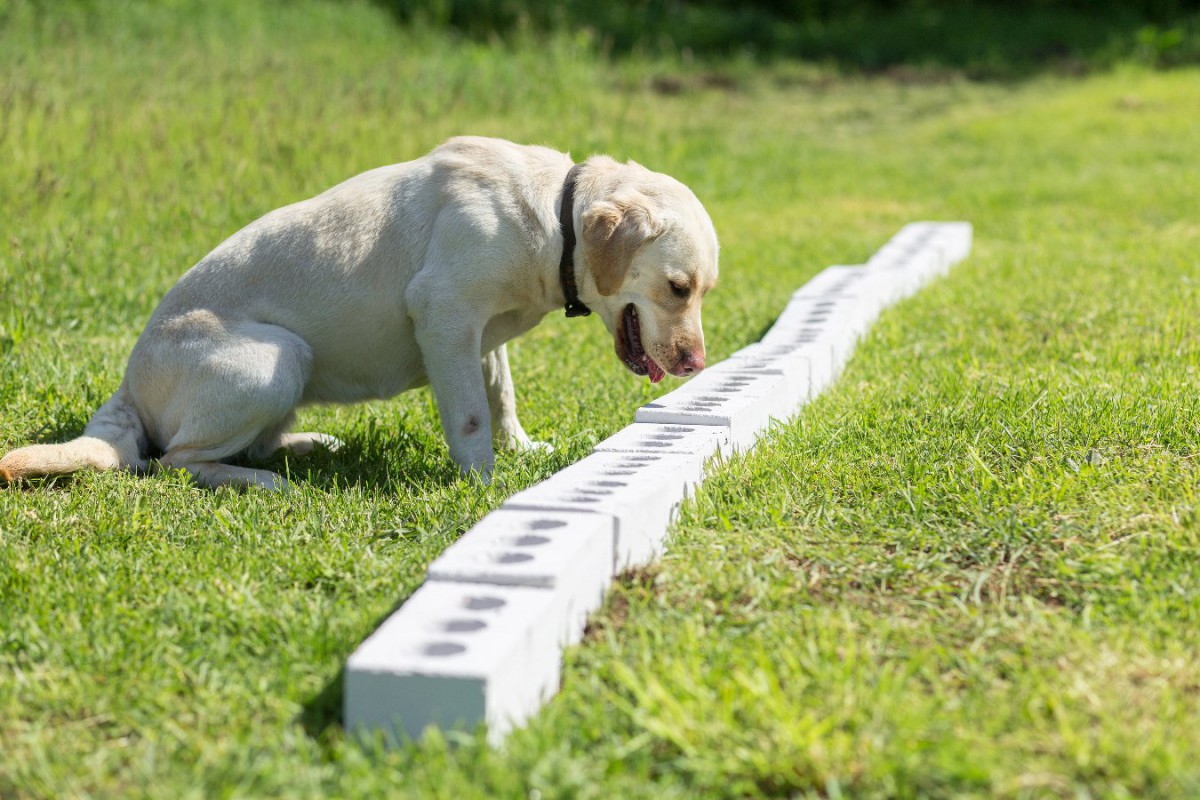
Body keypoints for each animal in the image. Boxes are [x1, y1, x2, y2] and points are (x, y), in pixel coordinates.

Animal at [0, 135, 715, 491]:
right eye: (679, 288)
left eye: (703, 290)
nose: (696, 364)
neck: (554, 215)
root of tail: (126, 386)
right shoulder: (445, 315)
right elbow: (471, 415)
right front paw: (484, 484)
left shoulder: (482, 335)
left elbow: (502, 394)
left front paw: (521, 447)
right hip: (277, 357)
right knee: (174, 460)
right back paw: (263, 484)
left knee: (250, 442)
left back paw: (308, 447)